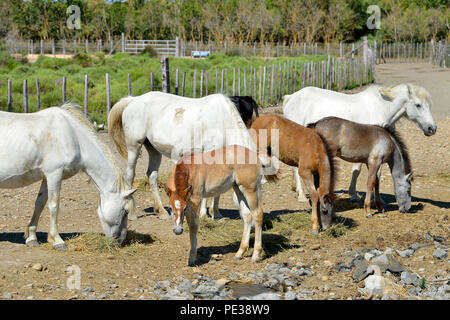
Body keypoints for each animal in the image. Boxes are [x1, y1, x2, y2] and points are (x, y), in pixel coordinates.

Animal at [0, 105, 135, 250]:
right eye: (126, 211)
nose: (121, 241)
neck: (74, 137)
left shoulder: (46, 177)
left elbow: (40, 204)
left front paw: (32, 238)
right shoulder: (54, 174)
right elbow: (54, 206)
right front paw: (58, 241)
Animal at [107, 91, 256, 219]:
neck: (223, 123)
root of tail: (132, 100)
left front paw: (217, 214)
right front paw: (203, 214)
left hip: (154, 150)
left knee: (152, 176)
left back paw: (161, 211)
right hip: (134, 146)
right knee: (129, 176)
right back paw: (132, 213)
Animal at [284, 84, 436, 201]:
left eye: (429, 105)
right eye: (418, 105)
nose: (432, 128)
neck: (381, 109)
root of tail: (291, 97)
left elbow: (366, 172)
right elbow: (361, 171)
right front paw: (362, 196)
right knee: (296, 168)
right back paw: (302, 195)